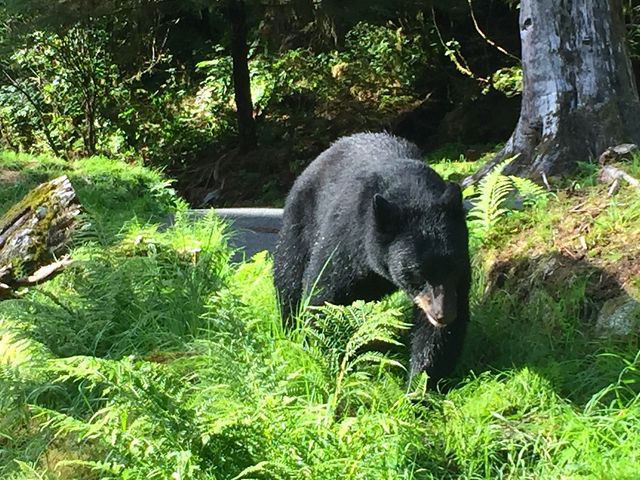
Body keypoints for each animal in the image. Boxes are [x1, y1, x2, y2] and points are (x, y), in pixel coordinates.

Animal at [272, 132, 472, 382]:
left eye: (453, 267)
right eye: (416, 274)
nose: (442, 315)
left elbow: (436, 336)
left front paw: (420, 383)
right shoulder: (347, 239)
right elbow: (324, 296)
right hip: (299, 222)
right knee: (288, 275)